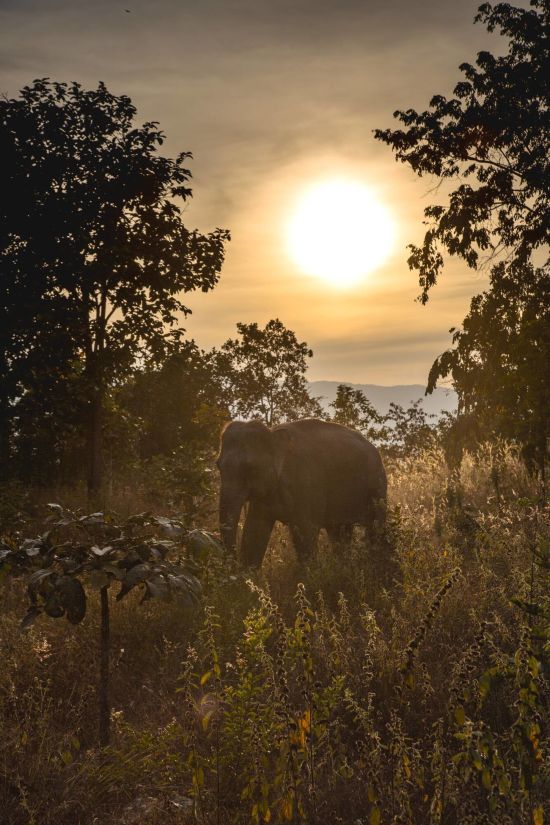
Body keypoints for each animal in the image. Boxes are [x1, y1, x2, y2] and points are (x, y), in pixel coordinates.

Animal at [217, 417, 387, 567]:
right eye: (218, 465)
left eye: (250, 468)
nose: (232, 563)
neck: (272, 433)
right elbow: (255, 530)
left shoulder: (307, 484)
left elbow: (306, 533)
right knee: (339, 533)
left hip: (377, 486)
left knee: (376, 528)